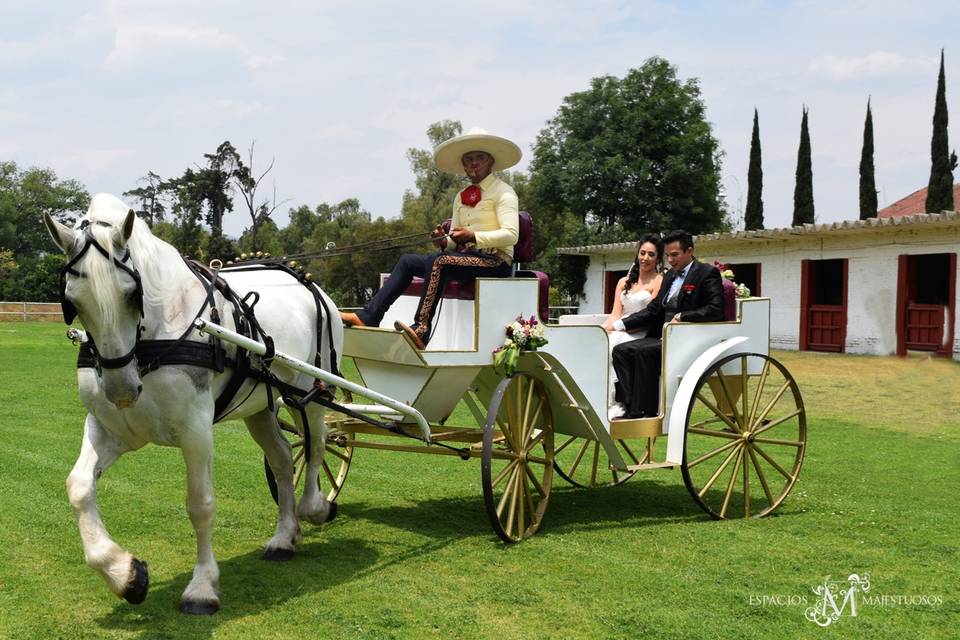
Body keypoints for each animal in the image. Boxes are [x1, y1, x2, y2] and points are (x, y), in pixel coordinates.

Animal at [46, 195, 344, 616]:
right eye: (72, 302)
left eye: (131, 294)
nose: (121, 390)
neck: (152, 341)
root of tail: (310, 284)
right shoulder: (111, 429)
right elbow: (79, 487)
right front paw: (124, 573)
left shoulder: (196, 431)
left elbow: (200, 505)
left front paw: (202, 586)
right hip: (260, 406)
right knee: (284, 459)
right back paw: (284, 537)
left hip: (313, 392)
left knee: (316, 447)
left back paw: (315, 507)